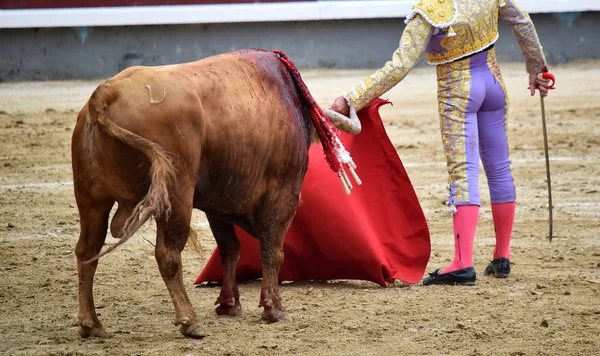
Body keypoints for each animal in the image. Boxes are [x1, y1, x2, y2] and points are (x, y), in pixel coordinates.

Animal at [70, 48, 360, 340]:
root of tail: (106, 93)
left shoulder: (218, 207)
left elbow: (230, 250)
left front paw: (229, 303)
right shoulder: (283, 194)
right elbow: (273, 251)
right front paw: (274, 308)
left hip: (91, 200)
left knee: (86, 251)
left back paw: (91, 323)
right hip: (177, 195)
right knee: (168, 254)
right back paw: (190, 321)